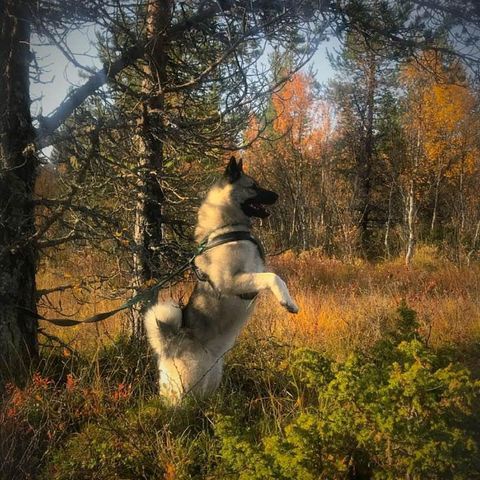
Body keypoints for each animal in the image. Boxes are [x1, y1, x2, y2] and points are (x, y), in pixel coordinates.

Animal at [144, 157, 298, 402]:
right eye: (253, 186)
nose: (276, 195)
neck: (226, 228)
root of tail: (168, 344)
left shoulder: (253, 273)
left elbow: (272, 276)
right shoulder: (230, 281)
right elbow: (274, 277)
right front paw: (288, 302)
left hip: (211, 379)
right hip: (188, 385)